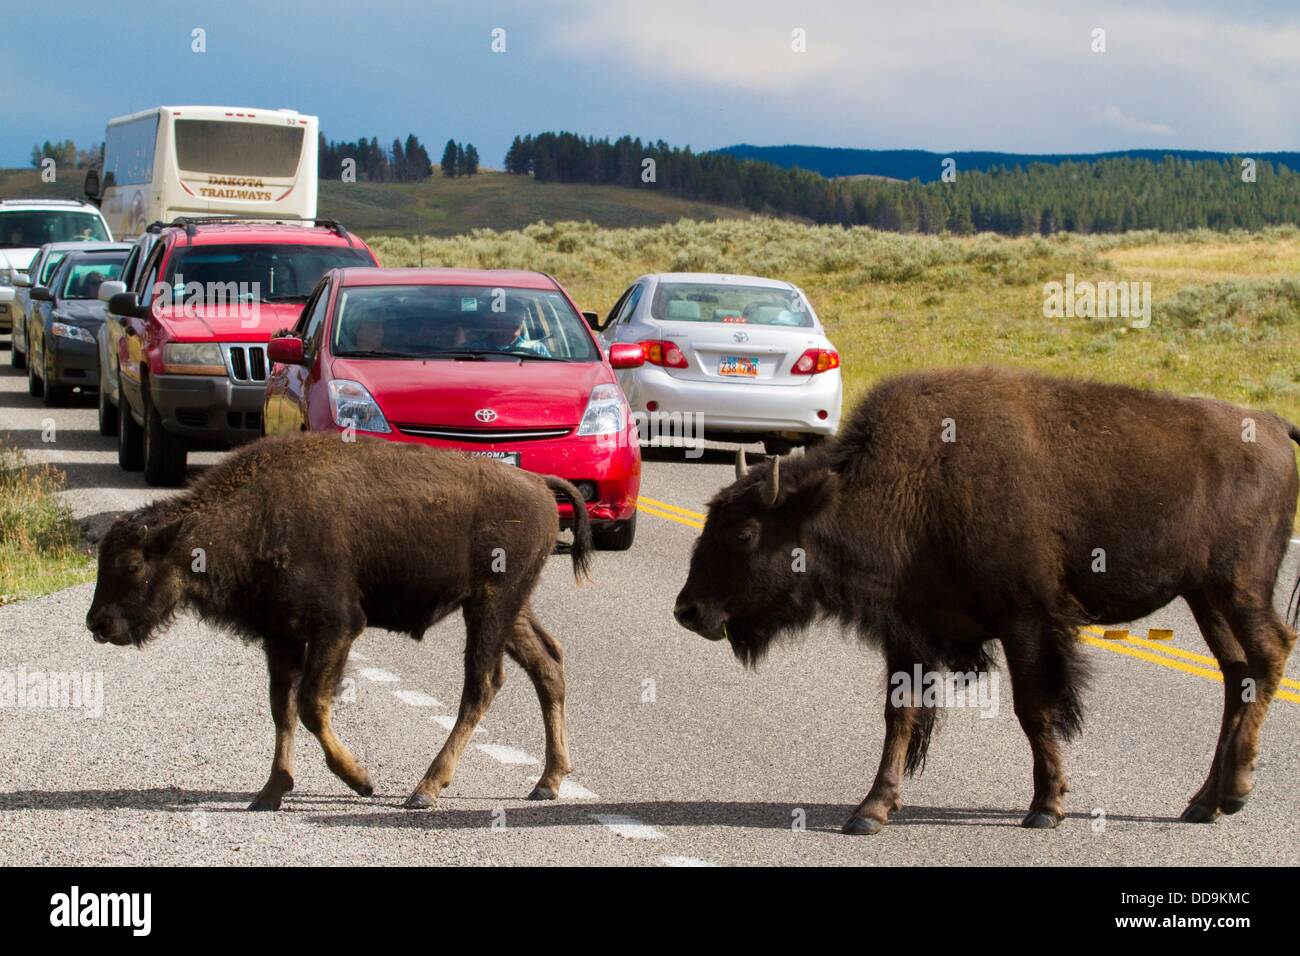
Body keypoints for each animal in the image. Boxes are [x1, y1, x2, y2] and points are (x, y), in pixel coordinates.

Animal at [86, 432, 590, 810]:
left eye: (132, 564)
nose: (97, 623)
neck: (252, 515)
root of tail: (538, 484)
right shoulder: (281, 637)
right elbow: (282, 709)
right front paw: (270, 792)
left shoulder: (338, 627)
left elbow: (311, 704)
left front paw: (361, 780)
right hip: (507, 609)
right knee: (548, 665)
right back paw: (547, 781)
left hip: (491, 604)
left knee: (481, 684)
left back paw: (425, 790)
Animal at [674, 366, 1299, 834]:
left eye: (744, 533)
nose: (688, 611)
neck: (908, 484)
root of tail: (1273, 425)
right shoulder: (909, 633)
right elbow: (899, 714)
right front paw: (870, 811)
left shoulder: (1026, 622)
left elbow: (1032, 709)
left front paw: (1046, 808)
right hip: (1204, 596)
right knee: (1237, 672)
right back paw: (1203, 803)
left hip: (1239, 585)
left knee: (1269, 653)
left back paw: (1235, 793)